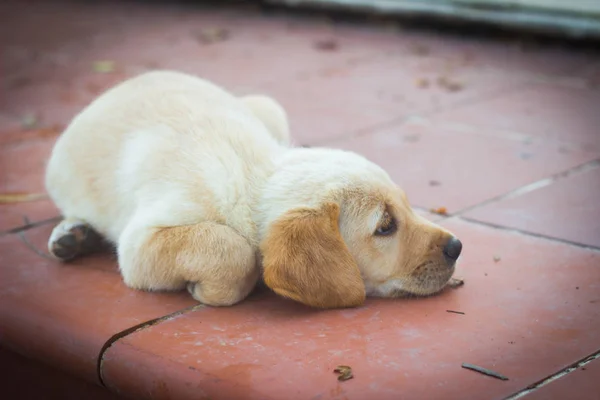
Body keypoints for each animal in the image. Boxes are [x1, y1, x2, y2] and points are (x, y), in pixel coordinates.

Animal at [45, 70, 464, 310]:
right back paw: (72, 233)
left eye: (408, 207)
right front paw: (209, 289)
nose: (457, 246)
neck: (252, 178)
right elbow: (233, 250)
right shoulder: (139, 244)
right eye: (385, 227)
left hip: (269, 108)